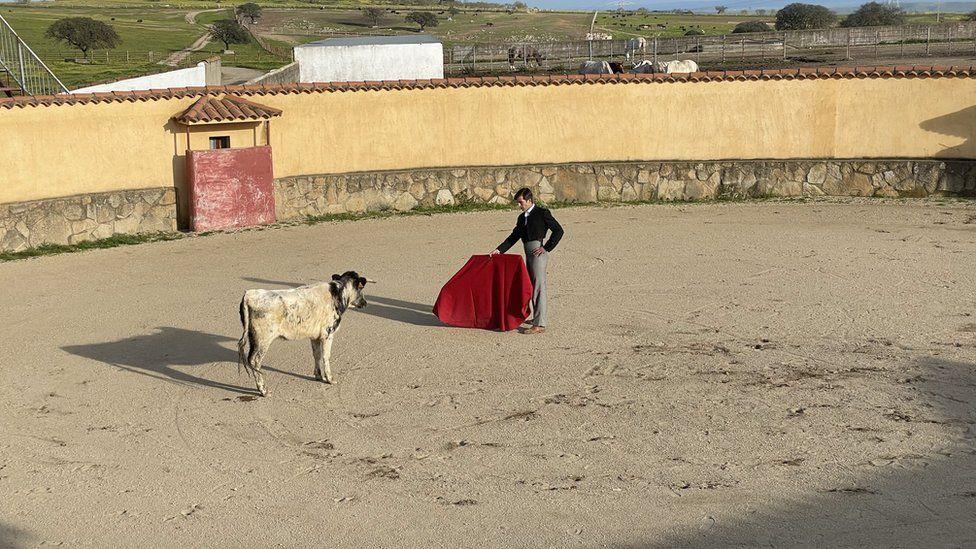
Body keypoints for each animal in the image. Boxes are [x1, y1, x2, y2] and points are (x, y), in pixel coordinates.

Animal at [237, 270, 374, 394]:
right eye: (361, 288)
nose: (365, 303)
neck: (337, 294)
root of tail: (249, 295)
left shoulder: (315, 337)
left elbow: (317, 355)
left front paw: (319, 376)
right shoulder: (328, 334)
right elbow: (326, 356)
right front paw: (330, 379)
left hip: (253, 339)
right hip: (263, 341)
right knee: (255, 361)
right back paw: (264, 390)